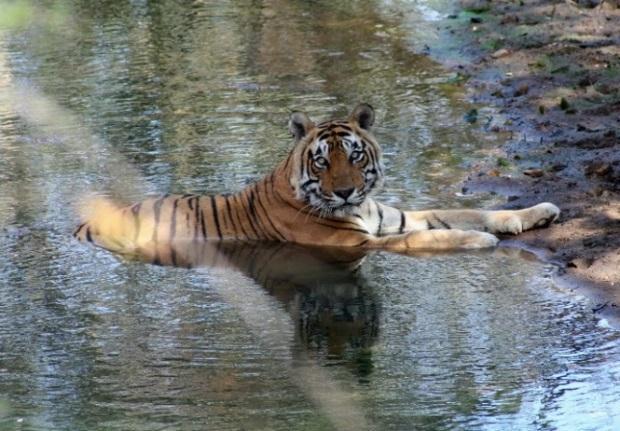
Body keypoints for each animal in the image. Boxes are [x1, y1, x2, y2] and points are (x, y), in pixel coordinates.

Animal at [75, 104, 560, 264]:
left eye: (355, 155)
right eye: (322, 161)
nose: (345, 191)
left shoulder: (396, 216)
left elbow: (462, 210)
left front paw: (536, 212)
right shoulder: (356, 244)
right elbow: (429, 238)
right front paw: (480, 240)